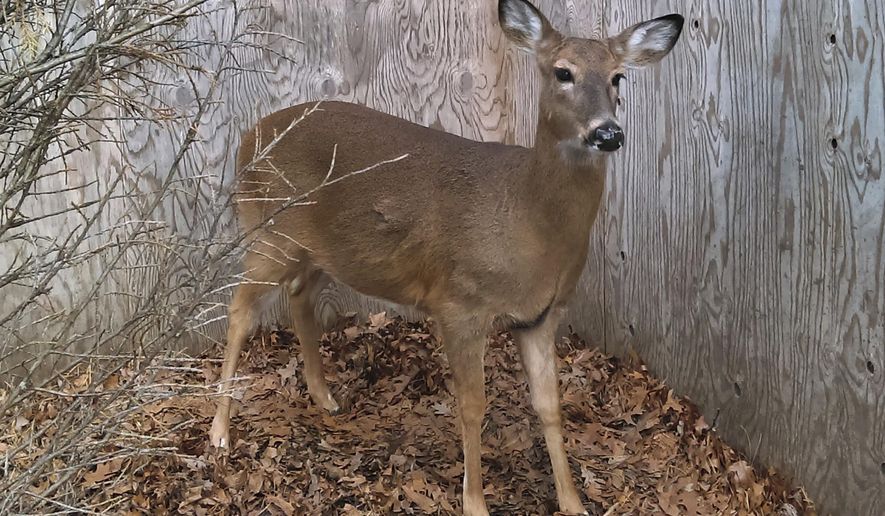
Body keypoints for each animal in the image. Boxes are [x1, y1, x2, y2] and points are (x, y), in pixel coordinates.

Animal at [209, 1, 683, 514]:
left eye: (618, 77)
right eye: (563, 72)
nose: (608, 133)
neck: (527, 221)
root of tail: (247, 137)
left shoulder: (541, 315)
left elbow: (550, 405)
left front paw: (572, 502)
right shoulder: (460, 303)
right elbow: (472, 406)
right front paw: (474, 501)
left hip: (322, 250)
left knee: (299, 294)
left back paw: (324, 396)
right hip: (267, 230)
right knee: (239, 309)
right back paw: (219, 432)